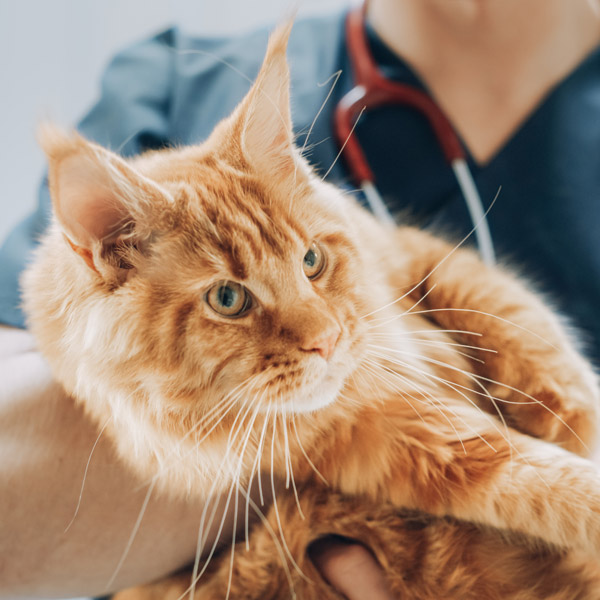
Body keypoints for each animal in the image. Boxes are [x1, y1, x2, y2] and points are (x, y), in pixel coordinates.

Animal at [24, 23, 600, 600]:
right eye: (228, 299)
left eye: (312, 261)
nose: (328, 339)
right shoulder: (396, 441)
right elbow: (542, 478)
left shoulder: (413, 252)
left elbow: (523, 329)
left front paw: (574, 422)